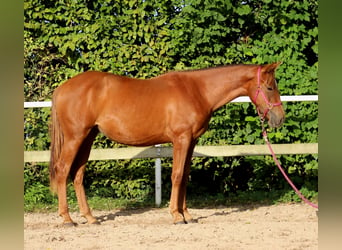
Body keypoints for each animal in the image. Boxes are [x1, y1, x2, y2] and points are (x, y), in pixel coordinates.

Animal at [48, 63, 284, 227]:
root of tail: (62, 88)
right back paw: (67, 219)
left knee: (77, 174)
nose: (279, 118)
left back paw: (90, 217)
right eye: (269, 87)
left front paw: (187, 214)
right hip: (75, 137)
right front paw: (176, 216)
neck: (197, 90)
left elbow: (185, 176)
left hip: (88, 137)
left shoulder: (191, 141)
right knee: (62, 170)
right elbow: (177, 175)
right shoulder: (181, 139)